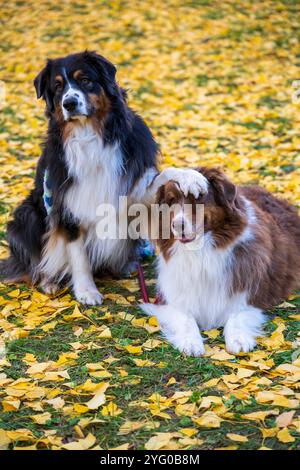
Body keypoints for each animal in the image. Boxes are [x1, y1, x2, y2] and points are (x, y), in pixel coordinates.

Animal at [0, 49, 206, 302]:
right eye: (57, 87)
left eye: (85, 80)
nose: (69, 103)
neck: (89, 133)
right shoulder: (66, 203)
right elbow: (77, 254)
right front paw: (86, 291)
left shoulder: (132, 189)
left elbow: (163, 175)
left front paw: (190, 177)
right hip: (27, 215)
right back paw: (48, 281)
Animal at [142, 167, 300, 354]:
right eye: (171, 200)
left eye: (198, 198)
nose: (177, 225)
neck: (201, 251)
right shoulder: (174, 299)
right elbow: (186, 317)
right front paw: (190, 341)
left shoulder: (248, 295)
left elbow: (236, 315)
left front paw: (238, 339)